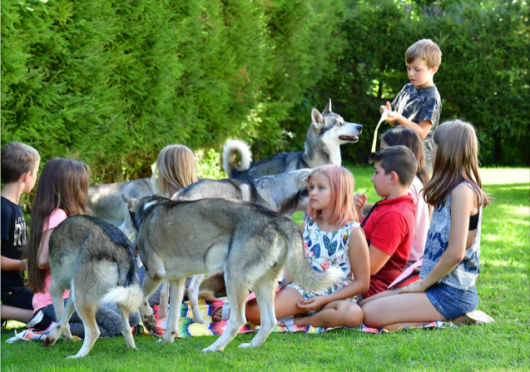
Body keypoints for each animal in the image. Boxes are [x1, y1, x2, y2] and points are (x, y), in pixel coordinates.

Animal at [42, 217, 142, 358]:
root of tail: (119, 247)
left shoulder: (56, 288)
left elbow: (61, 317)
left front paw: (65, 338)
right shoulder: (73, 291)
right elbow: (64, 320)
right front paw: (56, 338)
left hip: (82, 299)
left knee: (94, 332)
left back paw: (77, 356)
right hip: (118, 296)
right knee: (127, 329)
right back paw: (132, 348)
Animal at [122, 196, 338, 354]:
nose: (132, 248)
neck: (147, 210)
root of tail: (275, 217)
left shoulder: (154, 274)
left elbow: (138, 299)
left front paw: (148, 321)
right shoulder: (177, 281)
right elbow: (173, 317)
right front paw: (166, 339)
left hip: (233, 278)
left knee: (238, 321)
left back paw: (214, 347)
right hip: (262, 284)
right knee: (270, 321)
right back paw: (251, 346)